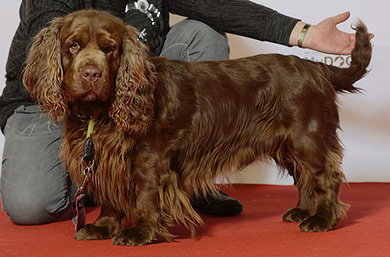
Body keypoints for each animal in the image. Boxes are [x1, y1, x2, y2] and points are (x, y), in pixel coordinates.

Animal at [22, 10, 374, 245]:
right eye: (73, 46)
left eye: (110, 49)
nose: (92, 74)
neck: (101, 111)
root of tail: (316, 67)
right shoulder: (105, 157)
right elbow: (110, 194)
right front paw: (103, 226)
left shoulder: (150, 159)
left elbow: (146, 196)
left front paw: (140, 232)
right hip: (287, 142)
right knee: (304, 178)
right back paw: (302, 211)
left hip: (307, 137)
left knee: (324, 177)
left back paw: (322, 219)